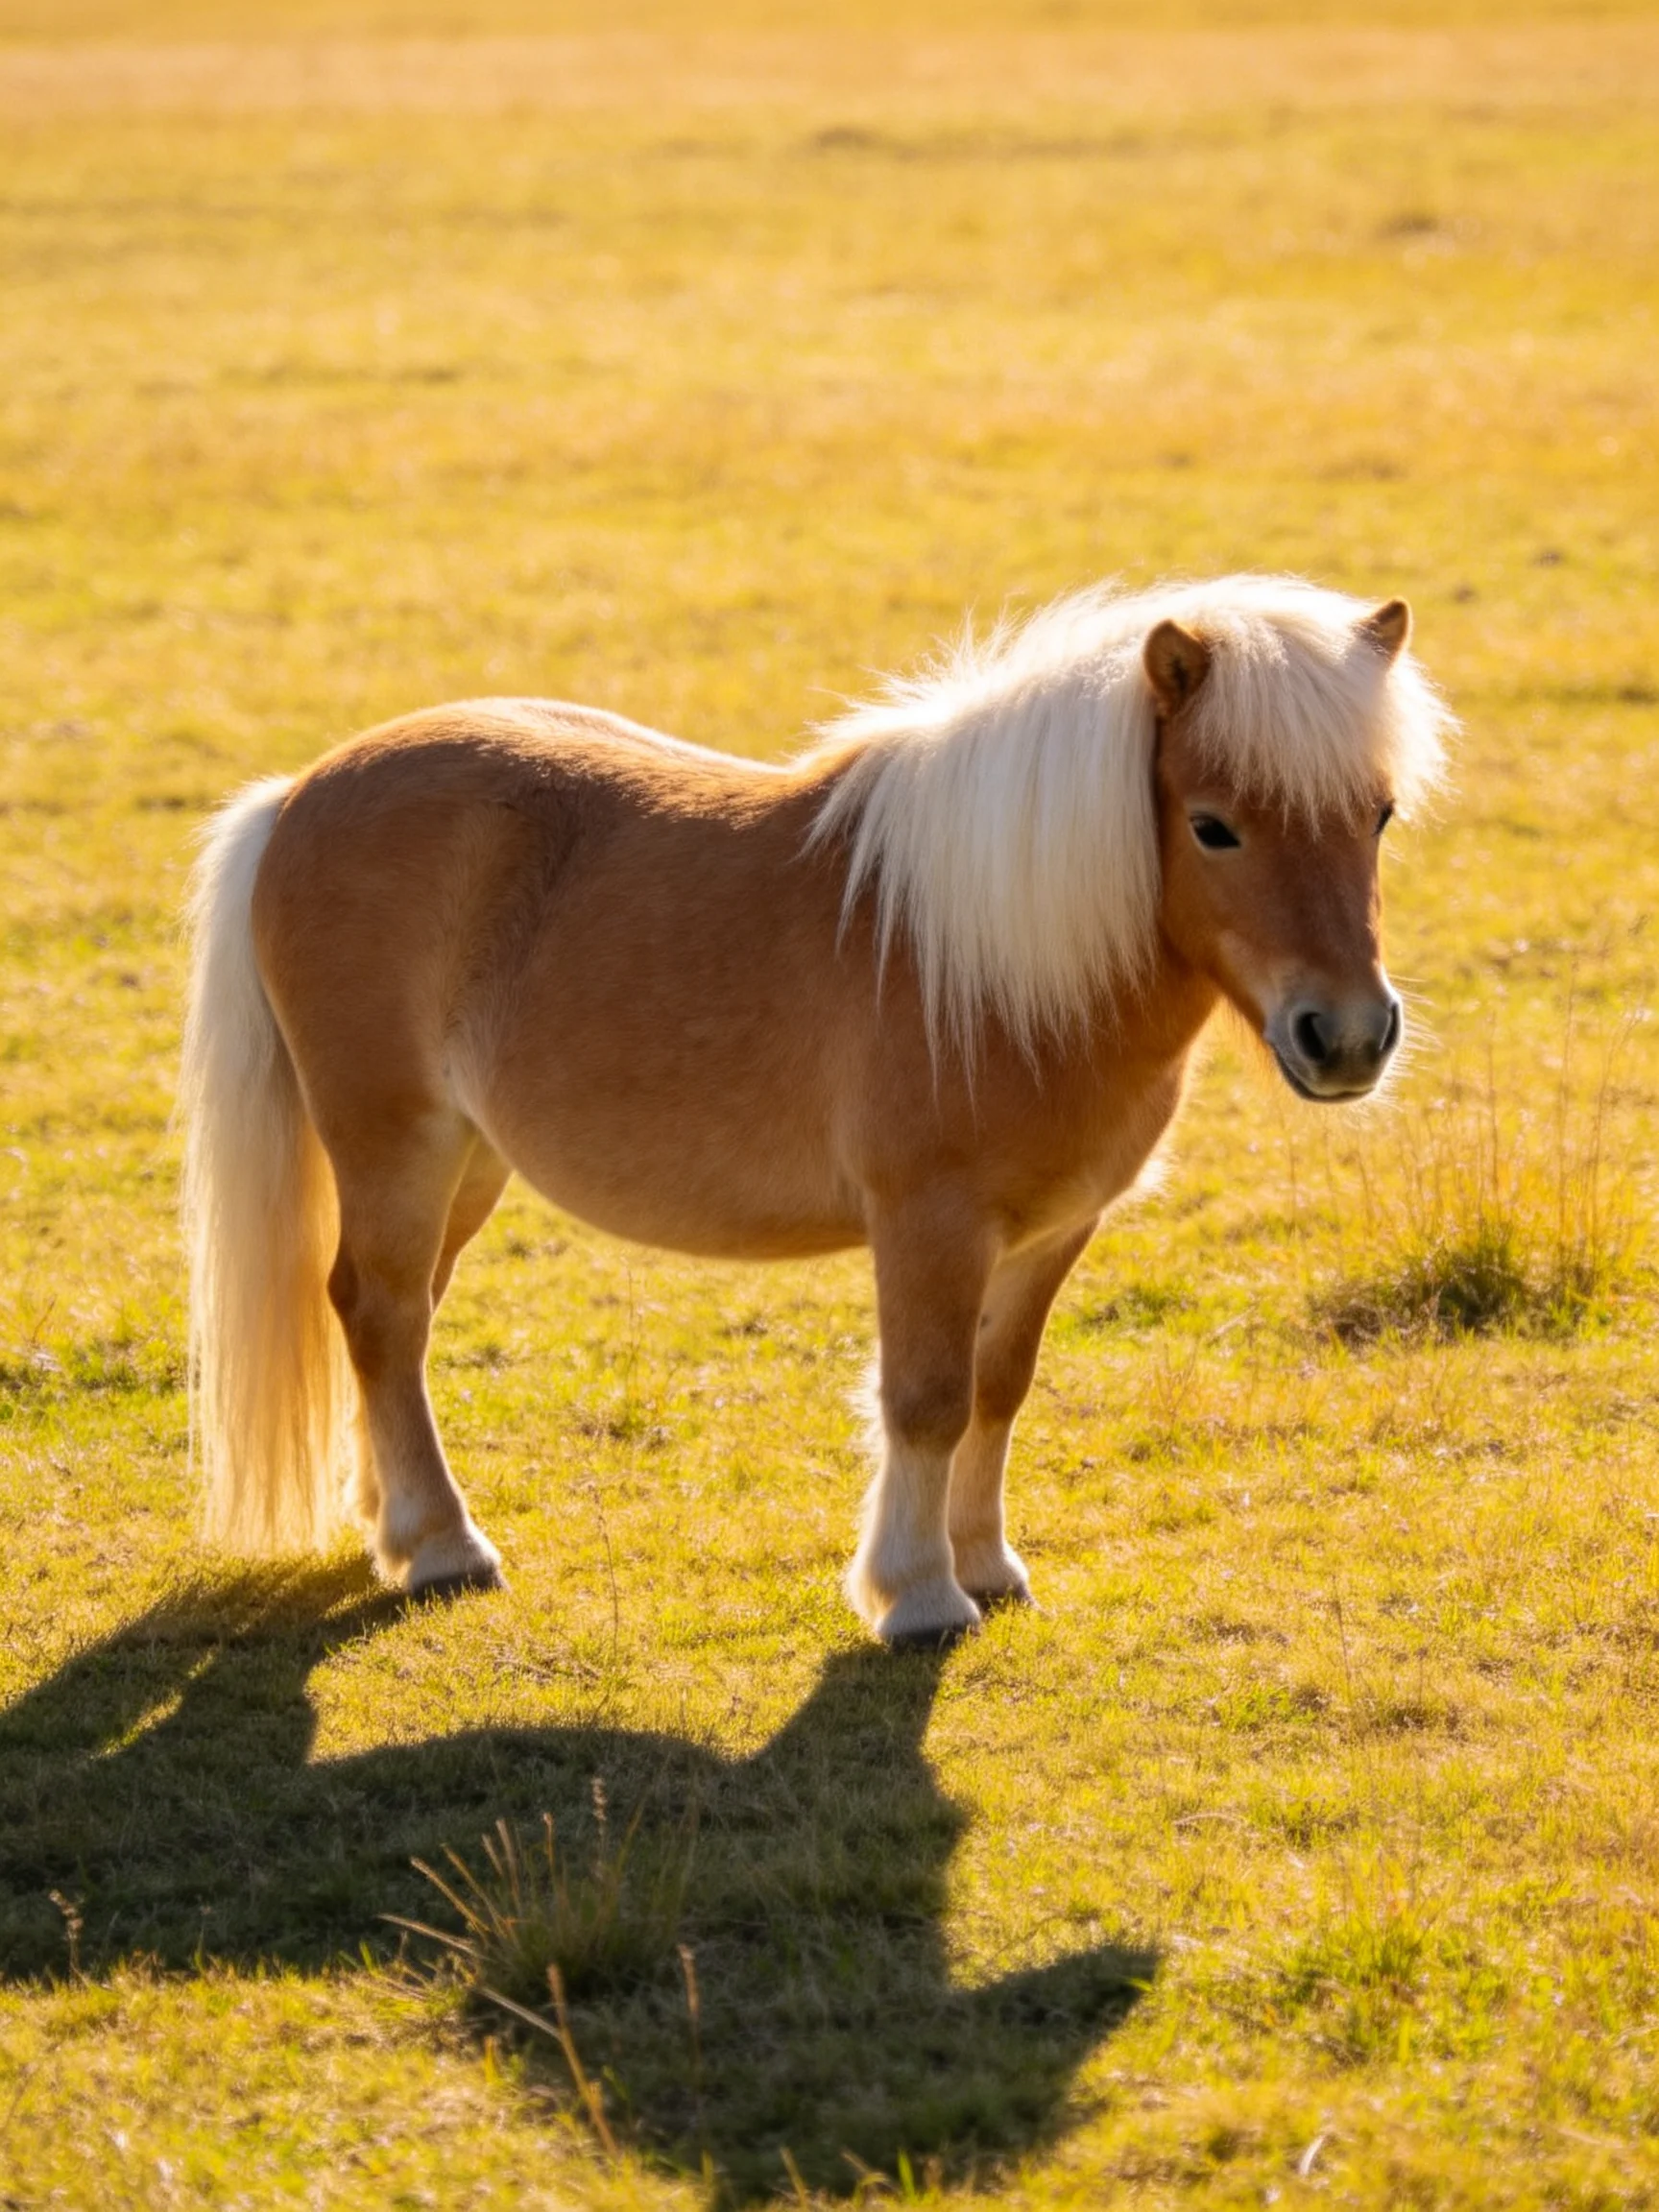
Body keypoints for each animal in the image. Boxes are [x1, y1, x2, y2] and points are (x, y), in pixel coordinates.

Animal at [180, 577, 1451, 1647]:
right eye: (1214, 825)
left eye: (1380, 815)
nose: (1347, 1037)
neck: (998, 963)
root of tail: (297, 795)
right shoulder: (930, 1223)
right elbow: (927, 1399)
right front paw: (921, 1597)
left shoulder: (1049, 1233)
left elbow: (999, 1388)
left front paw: (987, 1567)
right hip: (396, 1141)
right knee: (383, 1314)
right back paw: (446, 1548)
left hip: (468, 1162)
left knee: (392, 1317)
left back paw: (393, 1528)